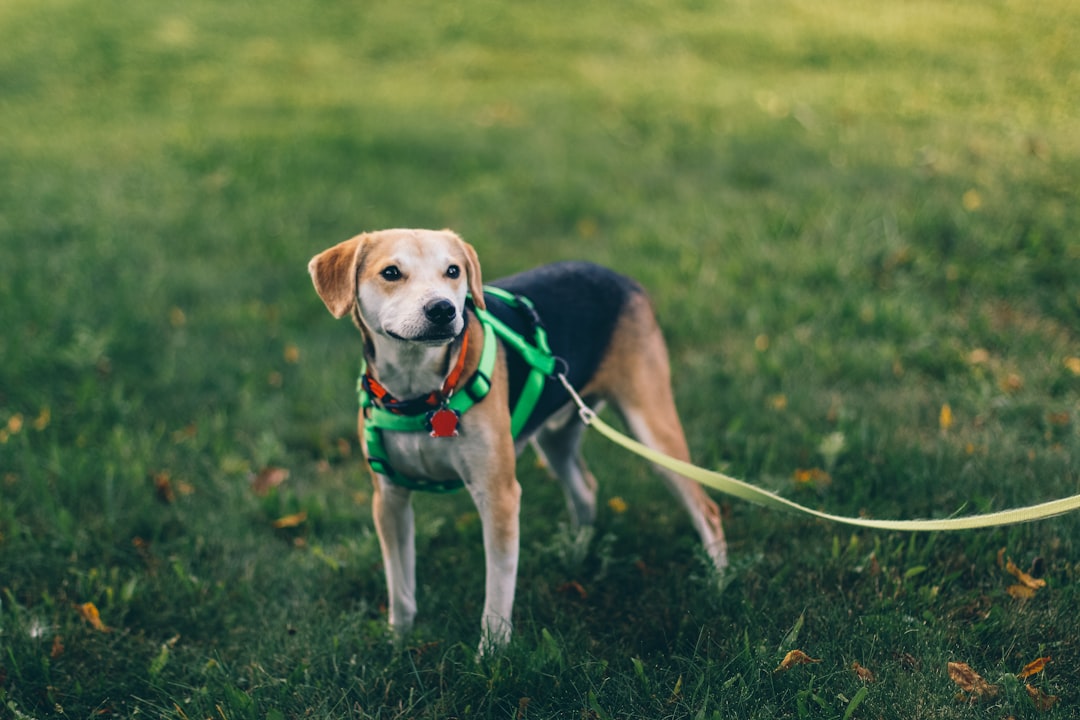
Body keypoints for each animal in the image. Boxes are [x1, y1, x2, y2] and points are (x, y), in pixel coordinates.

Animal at [308, 227, 725, 651]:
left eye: (453, 271)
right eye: (391, 273)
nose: (443, 310)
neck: (422, 394)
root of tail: (620, 278)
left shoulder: (499, 496)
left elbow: (498, 590)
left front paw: (491, 654)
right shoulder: (389, 498)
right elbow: (400, 586)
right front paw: (398, 641)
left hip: (653, 428)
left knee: (707, 509)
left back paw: (717, 582)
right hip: (556, 438)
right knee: (585, 488)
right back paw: (576, 551)